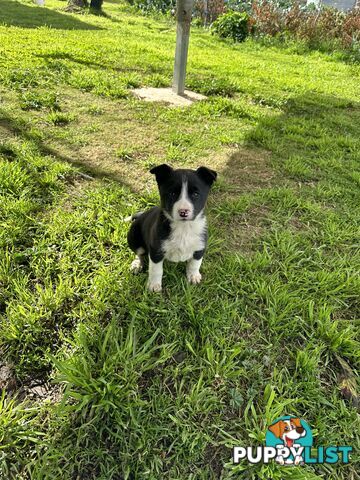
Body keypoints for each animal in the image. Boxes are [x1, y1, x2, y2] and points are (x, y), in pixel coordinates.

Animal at [126, 163, 217, 292]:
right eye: (172, 193)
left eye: (195, 194)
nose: (183, 212)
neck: (184, 227)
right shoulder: (156, 251)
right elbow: (156, 270)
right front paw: (154, 285)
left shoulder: (200, 247)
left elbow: (195, 263)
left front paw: (193, 276)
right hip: (134, 237)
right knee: (139, 253)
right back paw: (137, 264)